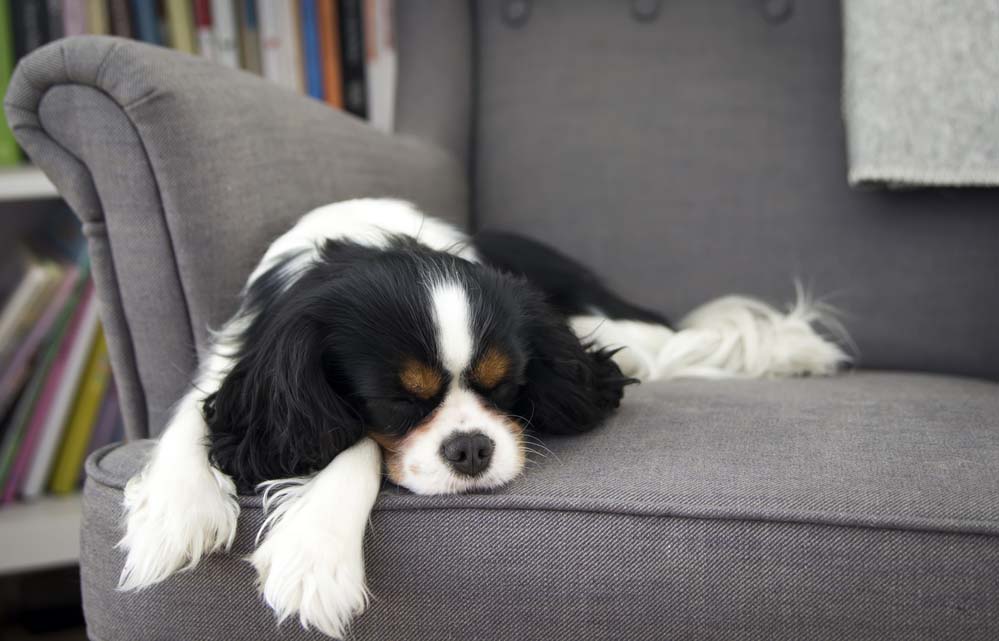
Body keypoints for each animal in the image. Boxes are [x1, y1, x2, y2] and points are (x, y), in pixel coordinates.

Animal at [113, 199, 844, 636]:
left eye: (506, 386)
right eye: (398, 400)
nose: (471, 449)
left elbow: (359, 450)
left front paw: (316, 554)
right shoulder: (243, 365)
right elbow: (195, 417)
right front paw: (177, 510)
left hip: (613, 323)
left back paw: (794, 351)